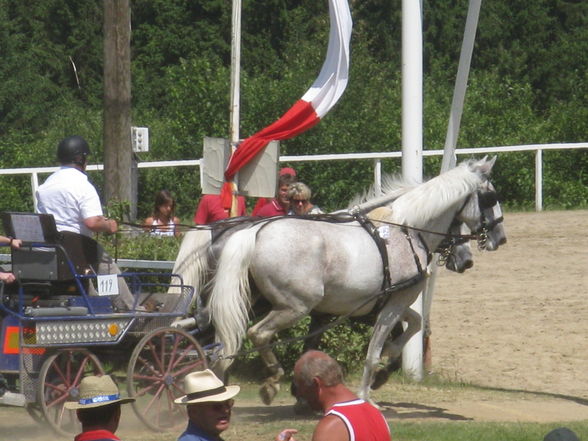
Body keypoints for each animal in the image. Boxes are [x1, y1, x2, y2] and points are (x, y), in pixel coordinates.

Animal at [206, 156, 506, 404]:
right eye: (490, 197)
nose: (500, 238)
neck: (407, 230)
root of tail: (256, 231)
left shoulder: (389, 301)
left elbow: (416, 323)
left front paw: (388, 362)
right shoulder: (395, 302)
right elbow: (374, 352)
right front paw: (366, 393)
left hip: (253, 301)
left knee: (224, 343)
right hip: (295, 307)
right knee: (257, 333)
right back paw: (271, 380)